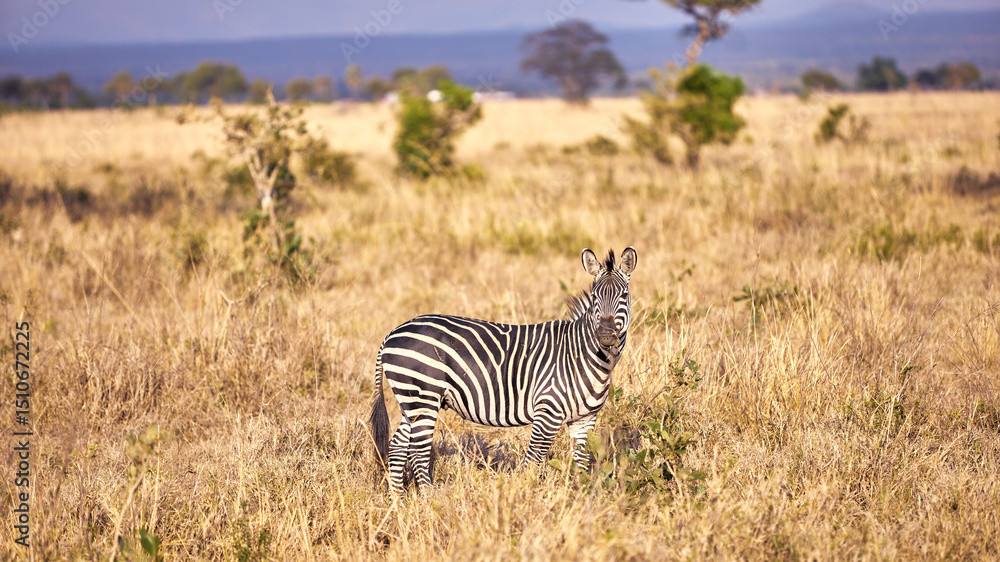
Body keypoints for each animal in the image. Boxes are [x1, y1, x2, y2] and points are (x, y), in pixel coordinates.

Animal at [369, 247, 637, 492]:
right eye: (595, 297)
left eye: (624, 295)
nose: (605, 336)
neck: (584, 357)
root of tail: (391, 334)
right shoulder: (547, 412)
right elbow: (533, 461)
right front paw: (527, 496)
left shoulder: (584, 419)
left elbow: (582, 462)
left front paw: (580, 498)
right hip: (423, 396)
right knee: (418, 451)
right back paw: (427, 499)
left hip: (412, 401)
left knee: (397, 446)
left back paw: (398, 501)